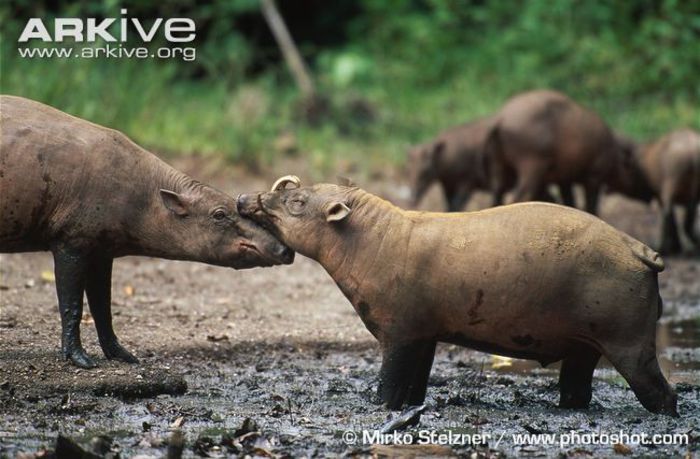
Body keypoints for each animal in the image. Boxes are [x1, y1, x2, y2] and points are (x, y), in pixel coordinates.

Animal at [237, 175, 680, 416]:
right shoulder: (424, 336)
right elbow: (415, 385)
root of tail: (642, 251)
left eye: (297, 202)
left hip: (630, 344)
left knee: (662, 394)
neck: (372, 241)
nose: (244, 198)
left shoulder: (399, 333)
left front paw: (379, 409)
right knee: (576, 389)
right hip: (584, 346)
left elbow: (390, 385)